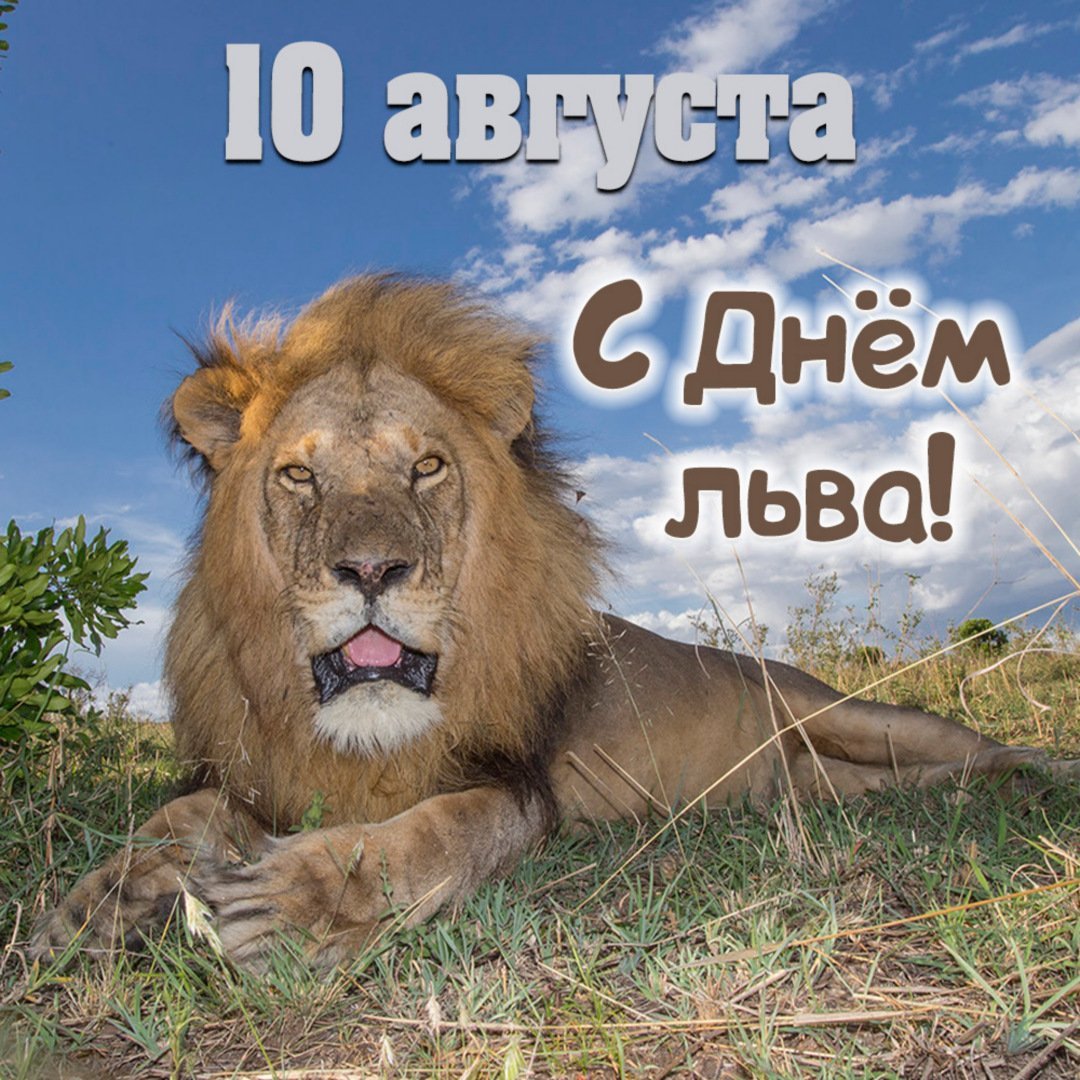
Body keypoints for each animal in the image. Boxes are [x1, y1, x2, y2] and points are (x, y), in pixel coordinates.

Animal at [30, 274, 1075, 971]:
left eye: (427, 467)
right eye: (297, 475)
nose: (370, 570)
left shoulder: (519, 786)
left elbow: (429, 835)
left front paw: (294, 905)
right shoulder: (257, 772)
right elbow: (175, 819)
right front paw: (92, 907)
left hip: (850, 711)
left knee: (977, 746)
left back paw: (1038, 776)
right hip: (827, 780)